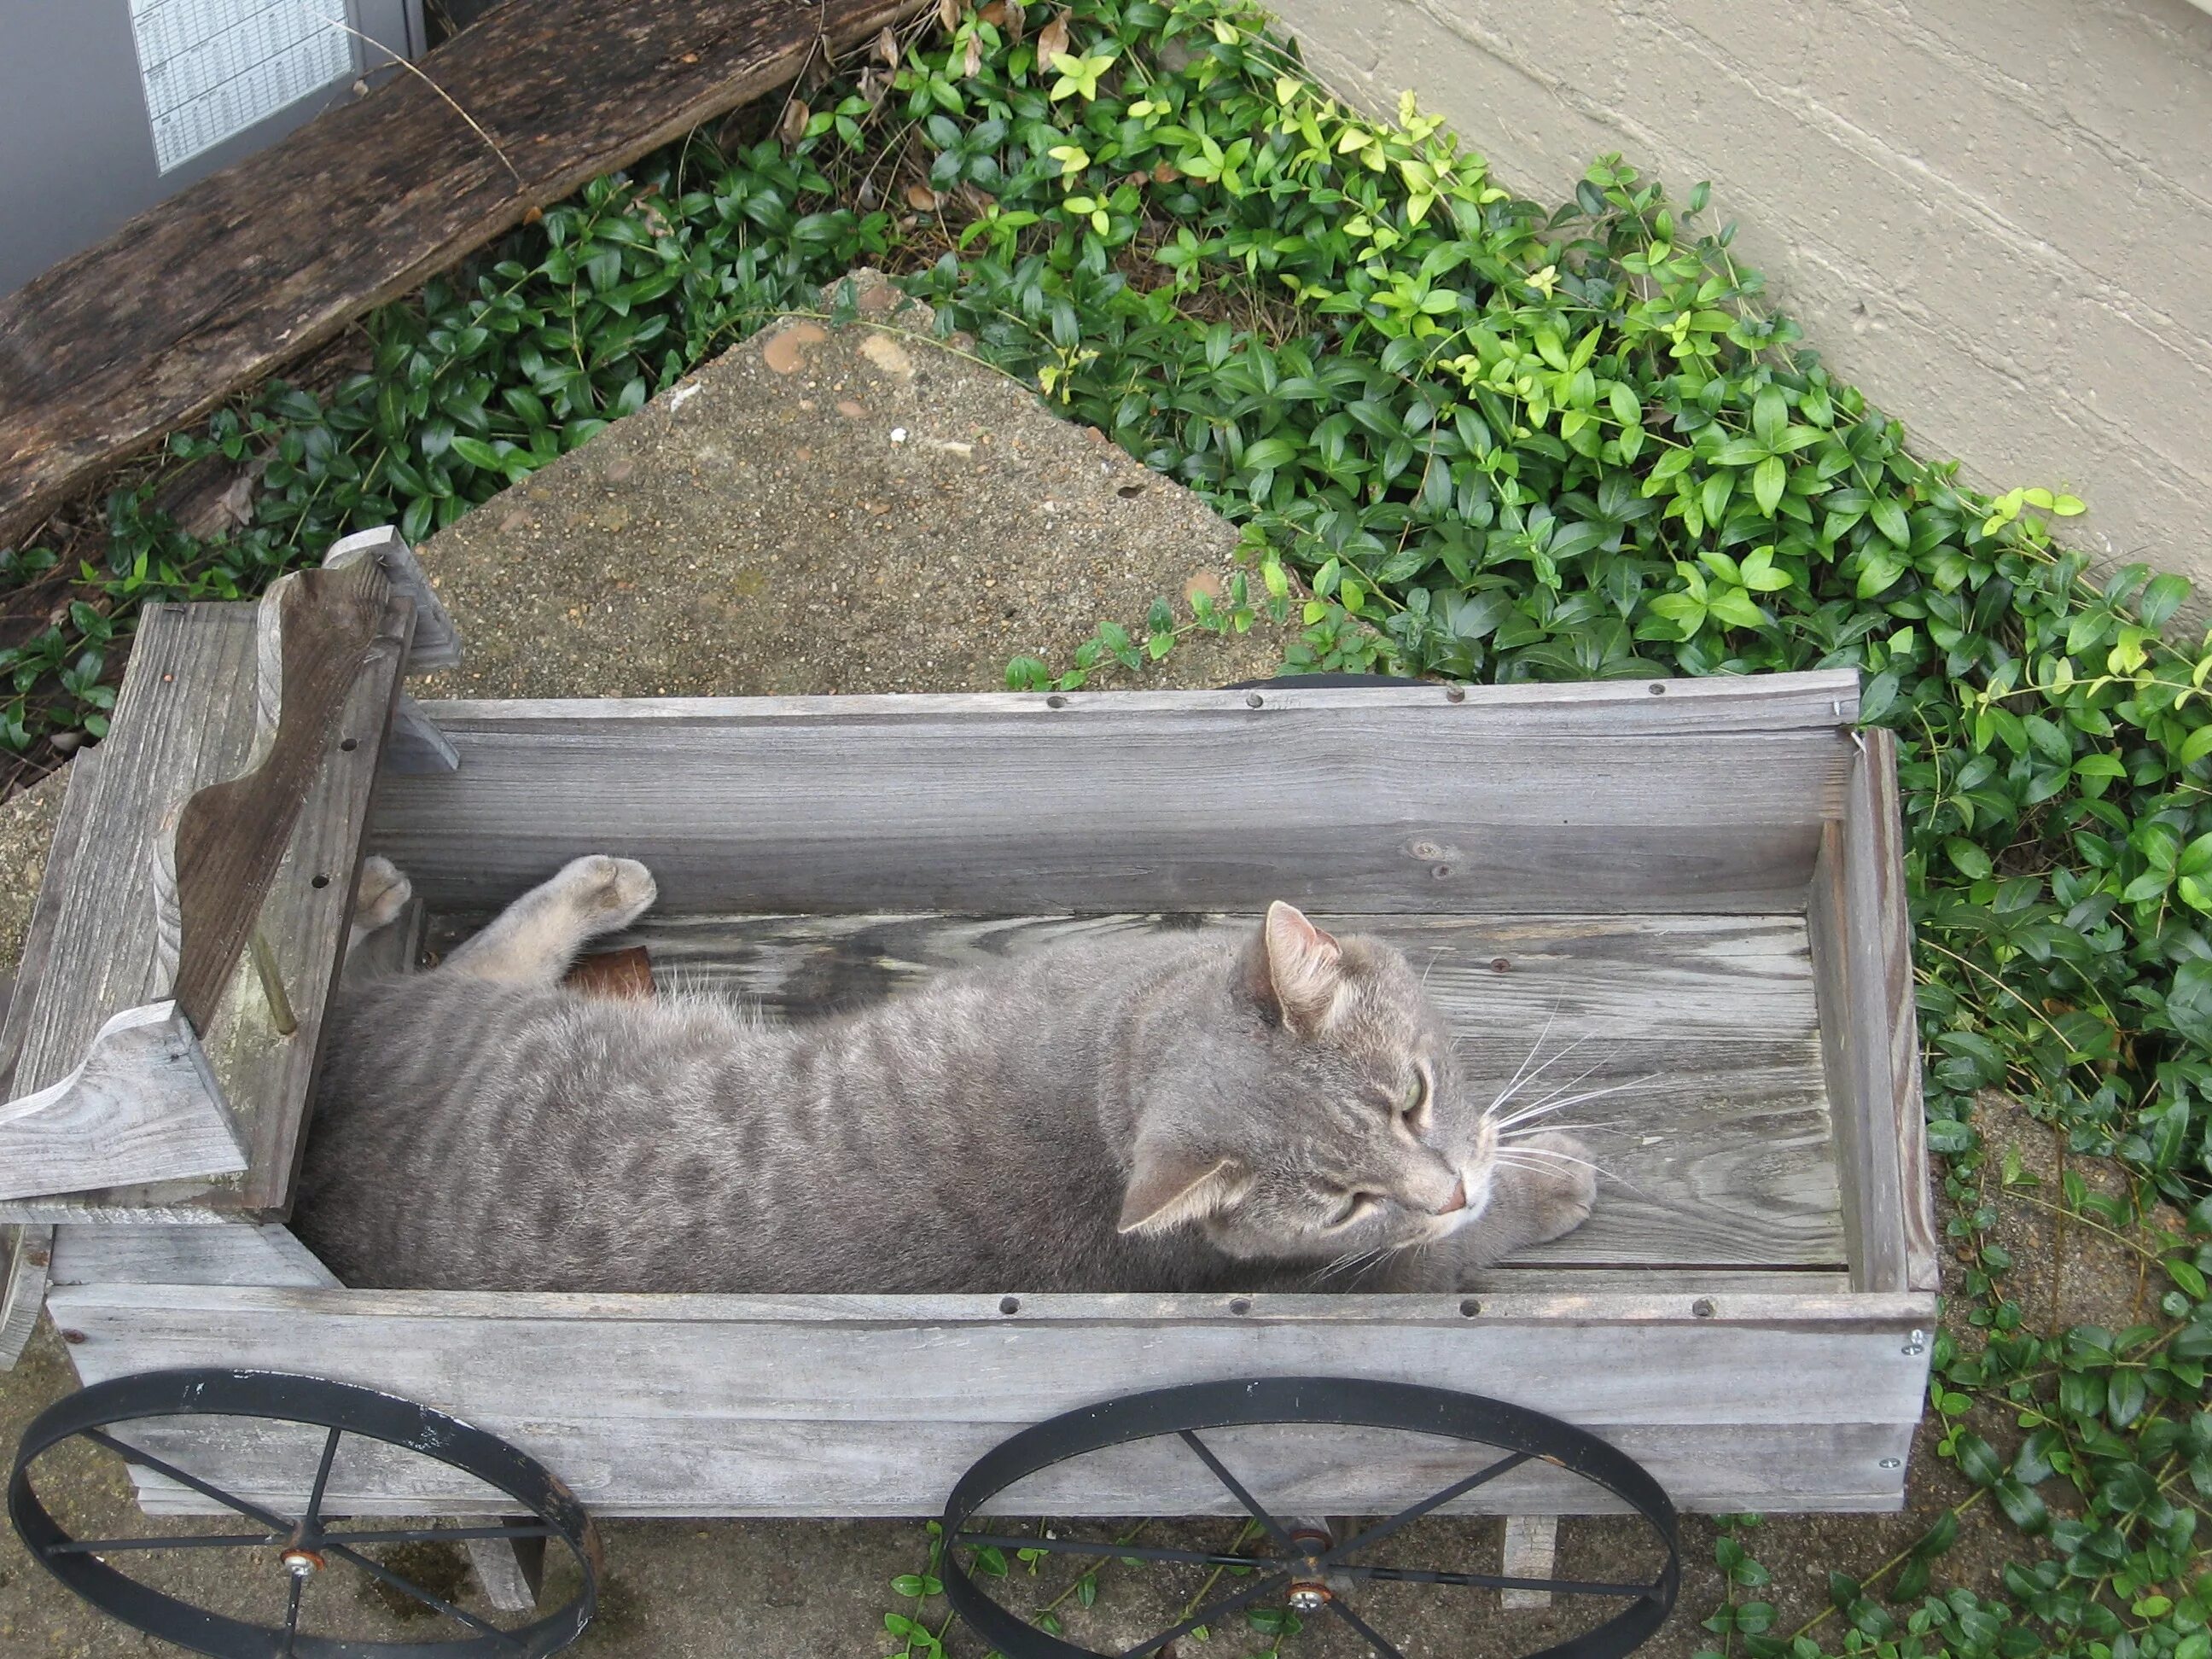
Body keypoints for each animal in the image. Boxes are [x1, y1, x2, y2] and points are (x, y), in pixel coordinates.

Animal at [303, 858, 1601, 1301]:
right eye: (1342, 1204)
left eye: (1413, 1098)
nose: (1441, 1185)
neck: (1108, 1068)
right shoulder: (1358, 1270)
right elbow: (1469, 1240)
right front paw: (1547, 1180)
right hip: (469, 1009)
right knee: (450, 957)